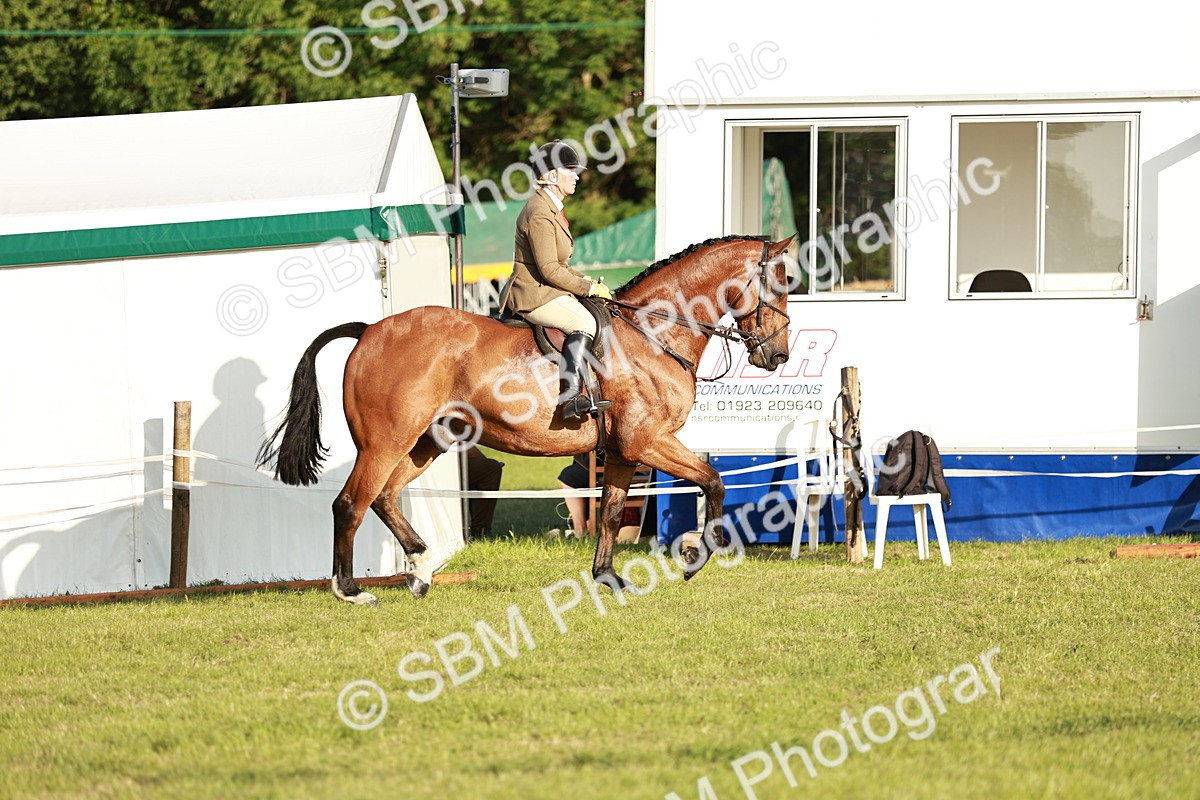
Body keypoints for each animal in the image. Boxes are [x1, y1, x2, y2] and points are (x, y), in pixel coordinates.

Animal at [257, 234, 797, 605]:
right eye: (780, 283)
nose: (778, 356)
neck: (654, 332)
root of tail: (370, 330)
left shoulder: (624, 451)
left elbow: (610, 514)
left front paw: (607, 578)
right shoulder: (648, 441)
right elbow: (713, 481)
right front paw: (694, 556)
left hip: (425, 442)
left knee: (384, 498)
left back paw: (422, 570)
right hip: (385, 442)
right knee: (351, 504)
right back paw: (351, 590)